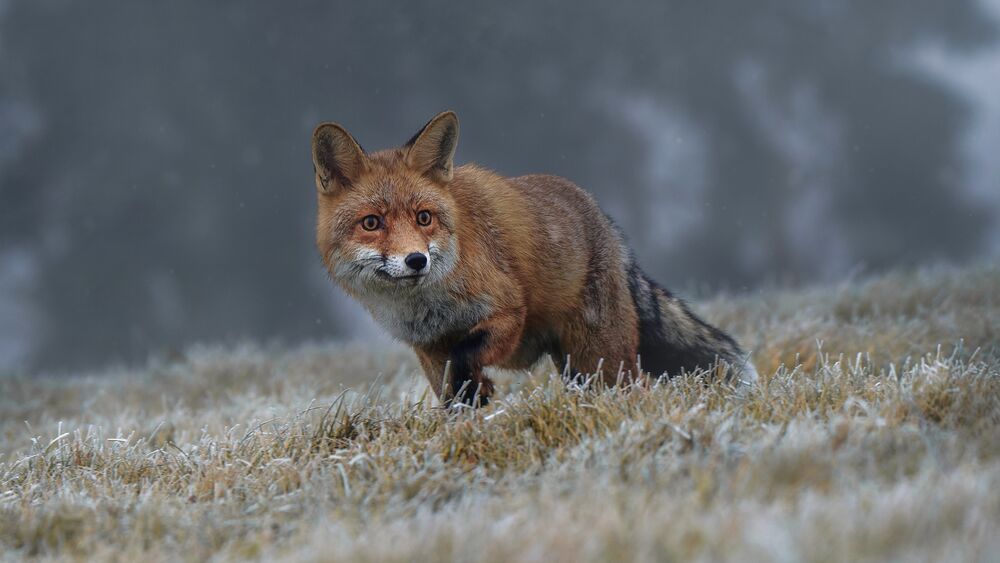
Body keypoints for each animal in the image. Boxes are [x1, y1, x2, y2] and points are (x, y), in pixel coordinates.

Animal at [308, 110, 752, 408]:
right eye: (371, 222)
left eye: (424, 218)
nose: (416, 260)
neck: (429, 306)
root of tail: (608, 224)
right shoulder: (427, 347)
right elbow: (451, 391)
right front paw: (470, 412)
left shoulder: (508, 312)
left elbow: (466, 354)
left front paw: (477, 388)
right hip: (577, 368)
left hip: (600, 360)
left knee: (634, 388)